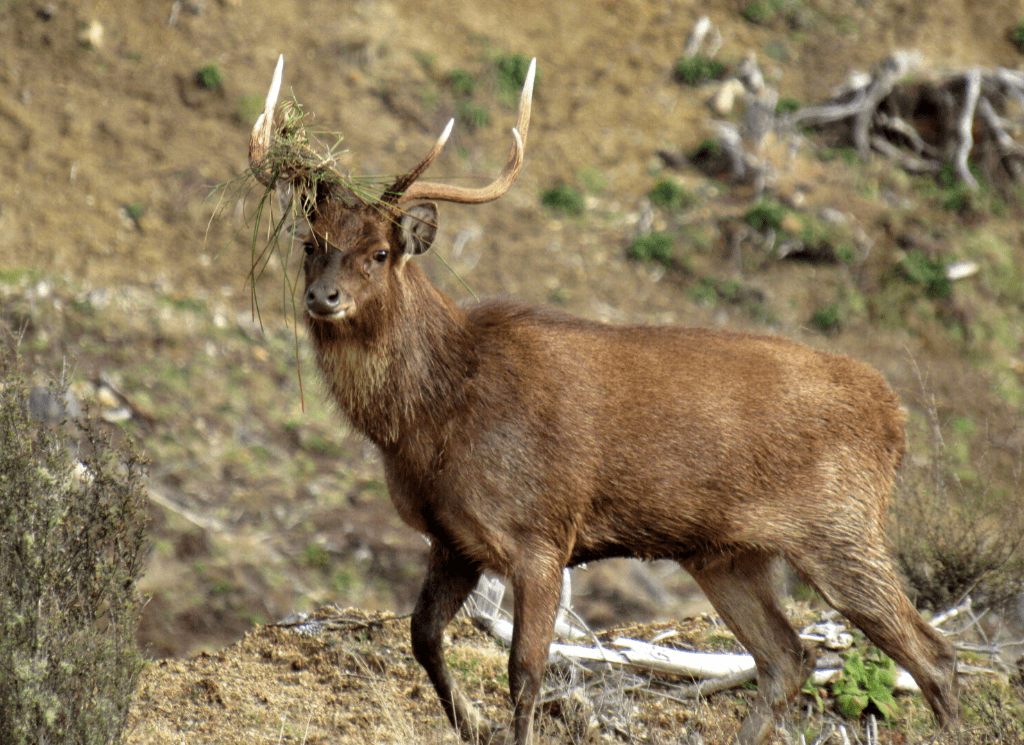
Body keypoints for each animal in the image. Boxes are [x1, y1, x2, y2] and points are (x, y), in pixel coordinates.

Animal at [247, 56, 958, 745]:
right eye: (310, 244)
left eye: (379, 252)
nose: (323, 297)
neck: (434, 417)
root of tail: (896, 417)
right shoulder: (453, 539)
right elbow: (423, 637)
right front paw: (470, 725)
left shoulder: (540, 532)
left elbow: (526, 672)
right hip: (730, 553)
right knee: (788, 656)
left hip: (842, 527)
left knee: (932, 654)